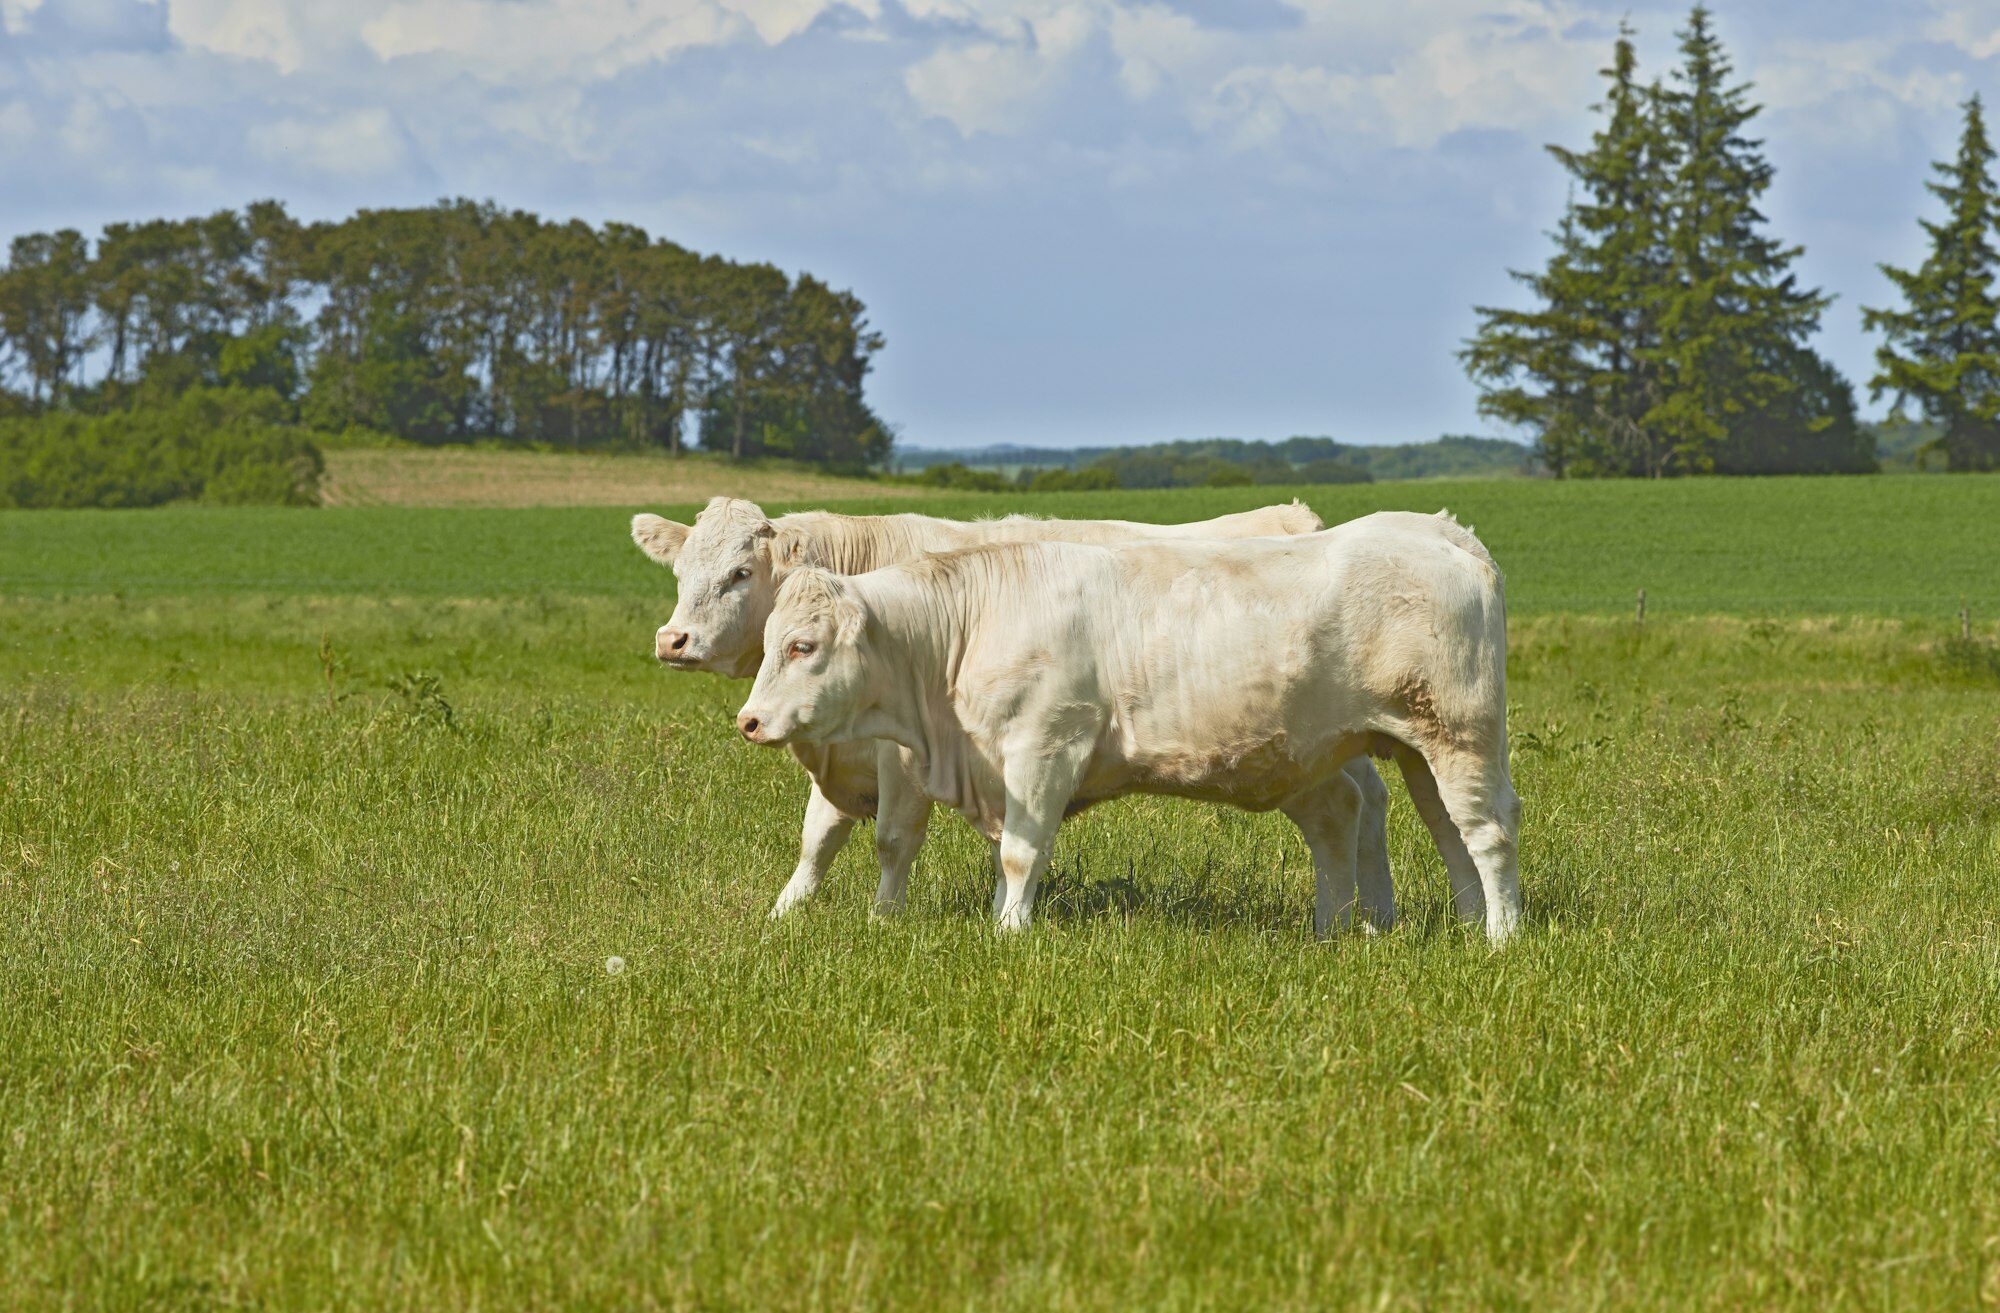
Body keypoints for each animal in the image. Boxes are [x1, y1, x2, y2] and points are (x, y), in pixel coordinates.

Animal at [632, 494, 1400, 924]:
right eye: (681, 571)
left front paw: (884, 922)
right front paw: (784, 916)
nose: (672, 640)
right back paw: (1375, 920)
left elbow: (892, 838)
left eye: (739, 573)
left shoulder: (900, 755)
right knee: (1369, 800)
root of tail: (1292, 517)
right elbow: (817, 837)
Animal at [740, 512, 1528, 944]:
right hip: (1401, 749)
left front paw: (1009, 932)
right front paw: (1001, 919)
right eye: (770, 640)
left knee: (1486, 829)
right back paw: (1422, 927)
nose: (748, 720)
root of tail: (1438, 529)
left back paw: (1500, 937)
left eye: (802, 646)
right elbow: (1007, 855)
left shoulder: (1045, 746)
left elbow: (1021, 853)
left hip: (1460, 732)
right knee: (1426, 827)